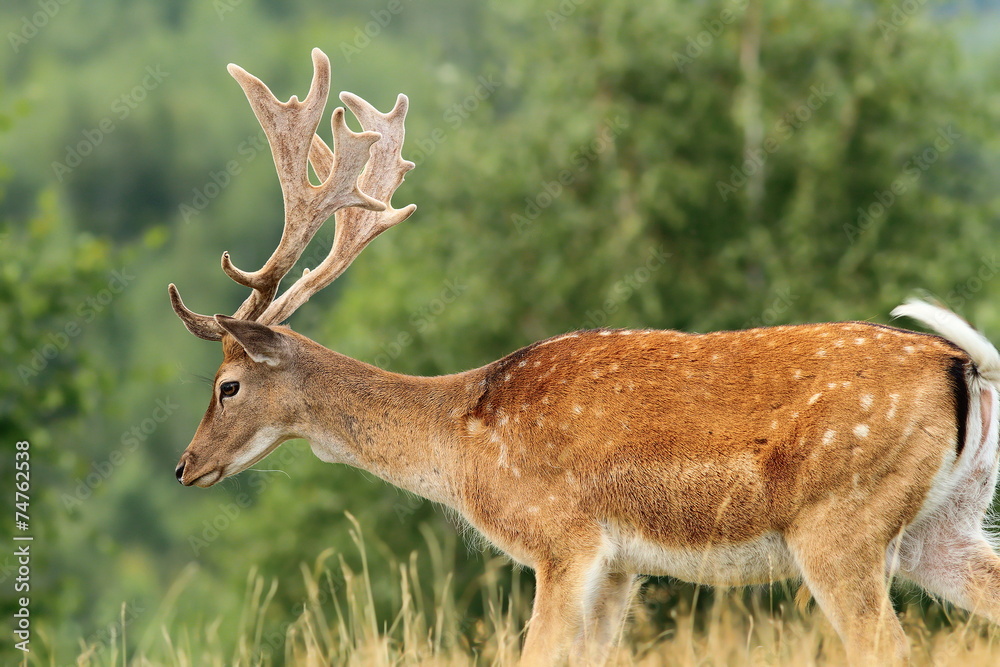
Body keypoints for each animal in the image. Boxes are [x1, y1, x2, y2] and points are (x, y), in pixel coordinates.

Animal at [170, 48, 1000, 665]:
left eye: (228, 384)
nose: (185, 465)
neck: (461, 440)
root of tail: (966, 367)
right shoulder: (623, 563)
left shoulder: (562, 537)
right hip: (945, 523)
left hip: (840, 522)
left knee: (887, 644)